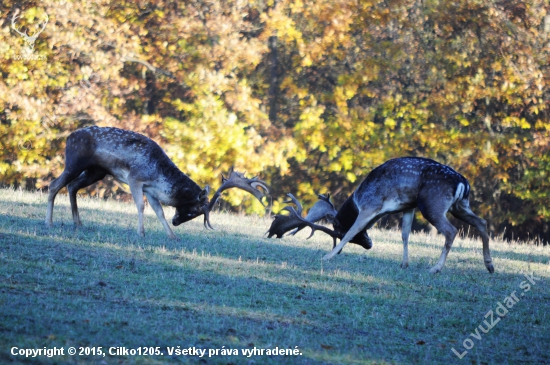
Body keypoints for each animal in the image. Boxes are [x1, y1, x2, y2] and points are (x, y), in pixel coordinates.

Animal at [45, 126, 270, 237]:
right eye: (195, 211)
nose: (176, 222)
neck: (158, 176)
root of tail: (68, 137)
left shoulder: (151, 190)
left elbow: (159, 211)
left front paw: (172, 236)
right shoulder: (135, 179)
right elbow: (140, 206)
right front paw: (141, 233)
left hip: (96, 171)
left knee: (72, 186)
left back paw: (78, 222)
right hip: (75, 162)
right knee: (54, 185)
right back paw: (49, 222)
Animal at [268, 156, 496, 272]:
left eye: (337, 231)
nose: (369, 245)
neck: (358, 199)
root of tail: (463, 183)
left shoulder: (371, 205)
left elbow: (353, 231)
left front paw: (327, 256)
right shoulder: (407, 207)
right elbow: (405, 234)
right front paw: (404, 264)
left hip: (433, 204)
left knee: (451, 231)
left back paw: (436, 268)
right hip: (460, 206)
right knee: (482, 222)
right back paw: (490, 265)